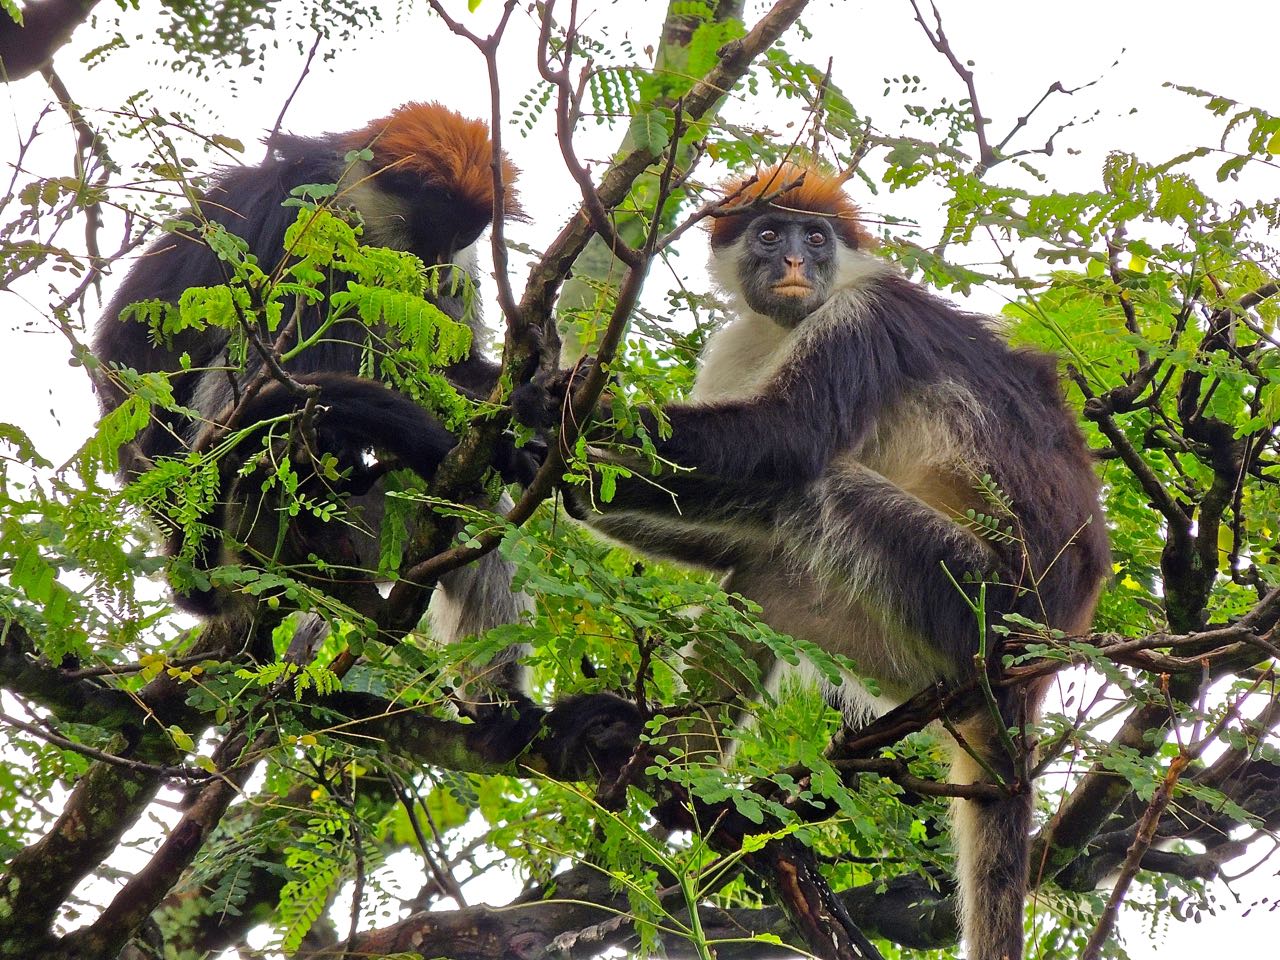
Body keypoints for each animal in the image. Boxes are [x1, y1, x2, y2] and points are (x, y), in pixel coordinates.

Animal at [93, 101, 535, 711]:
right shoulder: (303, 217)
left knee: (472, 505)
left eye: (465, 236)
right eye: (432, 230)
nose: (441, 268)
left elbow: (442, 366)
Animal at [524, 163, 1116, 960]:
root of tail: (1041, 661)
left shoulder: (866, 314)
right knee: (767, 572)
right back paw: (673, 771)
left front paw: (552, 406)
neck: (795, 318)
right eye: (769, 235)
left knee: (814, 490)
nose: (795, 264)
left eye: (815, 238)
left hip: (972, 600)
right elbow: (734, 529)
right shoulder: (742, 340)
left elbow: (784, 445)